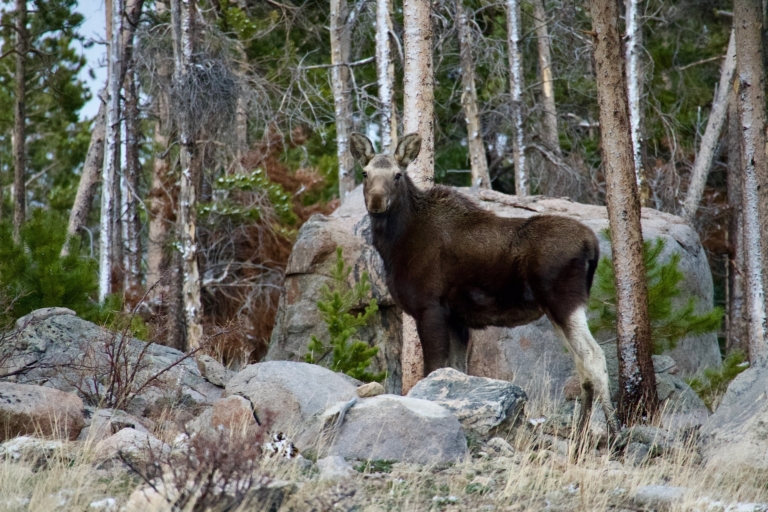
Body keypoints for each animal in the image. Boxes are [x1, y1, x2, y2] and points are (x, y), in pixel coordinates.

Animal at [349, 132, 621, 437]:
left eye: (397, 175)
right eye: (365, 173)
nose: (376, 201)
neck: (394, 246)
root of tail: (592, 245)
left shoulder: (429, 308)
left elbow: (434, 369)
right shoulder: (456, 317)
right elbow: (455, 370)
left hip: (564, 301)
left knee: (594, 357)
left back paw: (614, 432)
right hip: (556, 310)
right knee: (581, 363)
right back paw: (581, 431)